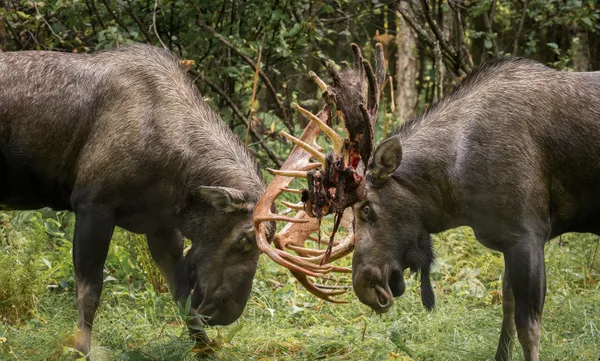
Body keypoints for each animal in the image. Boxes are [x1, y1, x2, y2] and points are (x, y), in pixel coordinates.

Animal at [0, 44, 268, 358]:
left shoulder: (161, 226)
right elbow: (89, 293)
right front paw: (81, 351)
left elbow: (180, 293)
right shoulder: (93, 206)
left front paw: (204, 347)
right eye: (244, 239)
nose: (228, 312)